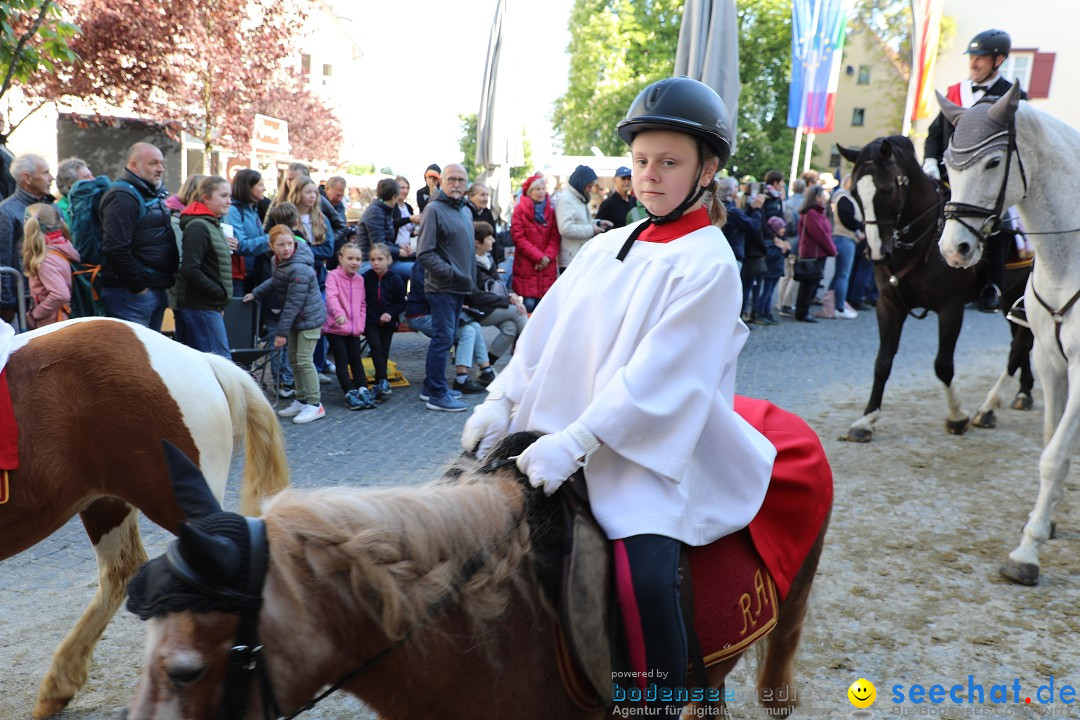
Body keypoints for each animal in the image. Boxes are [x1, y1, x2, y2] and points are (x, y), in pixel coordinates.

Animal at [829, 134, 1032, 440]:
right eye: (854, 194)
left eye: (887, 190)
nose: (876, 254)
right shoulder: (889, 306)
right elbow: (882, 362)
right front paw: (866, 420)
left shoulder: (951, 308)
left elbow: (943, 365)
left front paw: (957, 416)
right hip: (1013, 297)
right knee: (1023, 341)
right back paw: (1023, 393)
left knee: (1020, 345)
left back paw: (988, 407)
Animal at [937, 81, 1080, 587]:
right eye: (948, 164)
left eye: (993, 162)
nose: (954, 249)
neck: (1069, 261)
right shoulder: (1051, 362)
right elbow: (1052, 444)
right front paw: (1045, 521)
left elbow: (1054, 456)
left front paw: (1026, 553)